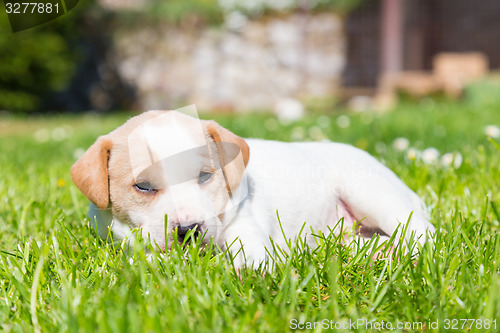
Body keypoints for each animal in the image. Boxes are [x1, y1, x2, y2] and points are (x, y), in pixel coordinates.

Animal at [70, 110, 434, 266]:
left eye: (205, 176)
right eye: (143, 186)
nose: (189, 230)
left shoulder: (241, 218)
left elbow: (244, 243)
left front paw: (252, 269)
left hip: (371, 191)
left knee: (422, 231)